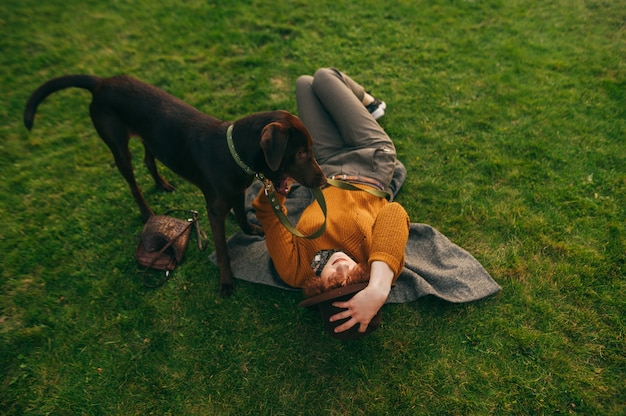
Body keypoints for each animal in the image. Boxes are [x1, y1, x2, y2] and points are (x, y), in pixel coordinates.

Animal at [23, 74, 326, 296]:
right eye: (301, 152)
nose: (324, 180)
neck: (233, 153)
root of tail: (101, 82)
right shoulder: (215, 211)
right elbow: (222, 250)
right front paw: (226, 282)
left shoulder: (237, 192)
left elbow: (240, 215)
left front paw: (251, 229)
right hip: (118, 147)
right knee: (133, 181)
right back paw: (146, 212)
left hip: (151, 139)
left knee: (149, 160)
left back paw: (162, 184)